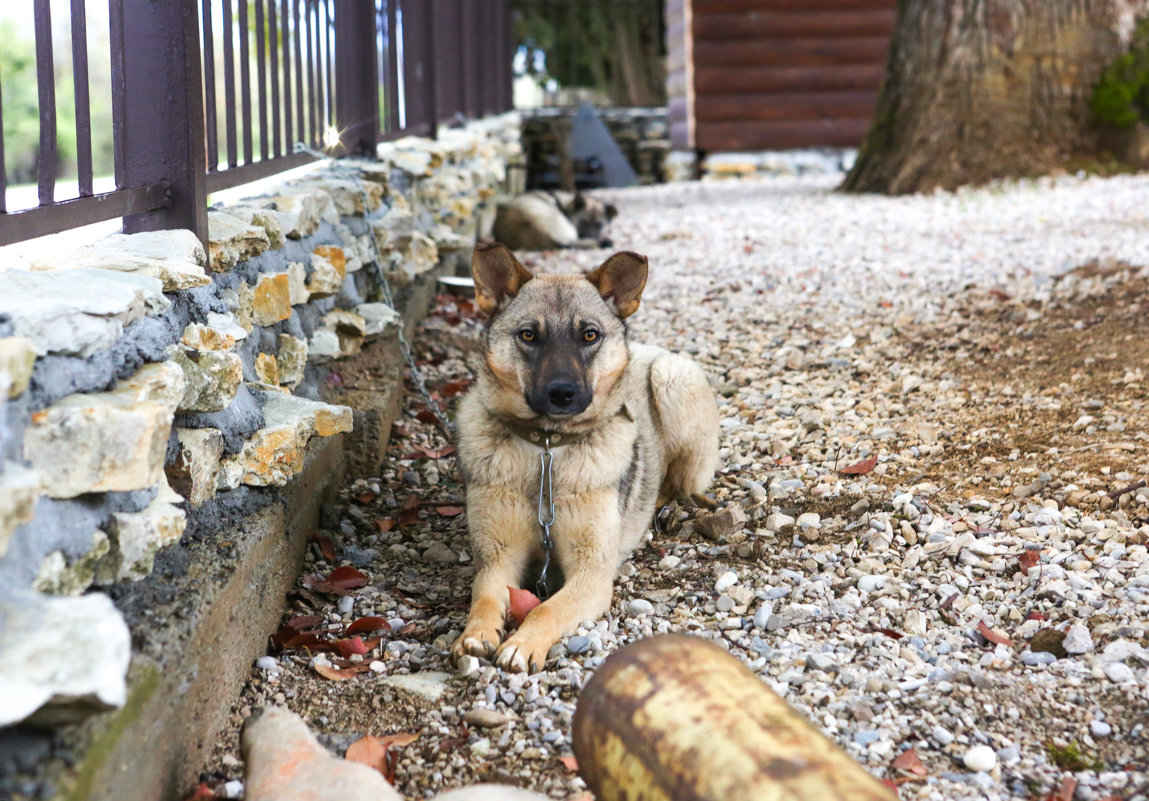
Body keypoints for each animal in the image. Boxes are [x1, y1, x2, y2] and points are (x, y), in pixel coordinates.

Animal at [450, 242, 712, 666]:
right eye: (529, 335)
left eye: (589, 335)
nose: (562, 393)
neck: (547, 448)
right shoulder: (498, 559)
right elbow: (485, 596)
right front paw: (475, 634)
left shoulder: (591, 573)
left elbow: (546, 608)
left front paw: (524, 643)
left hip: (672, 380)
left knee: (679, 483)